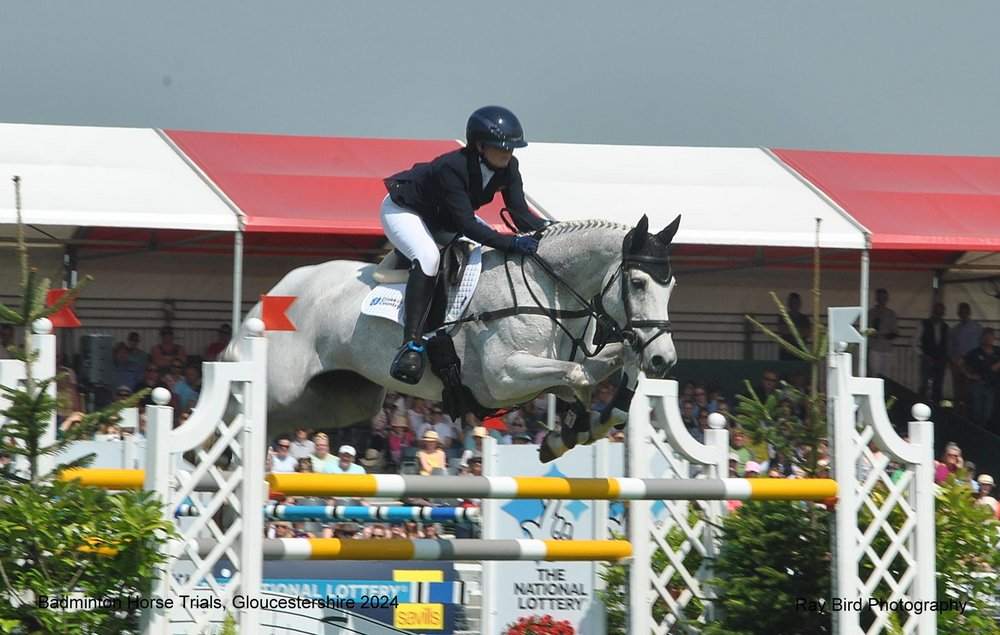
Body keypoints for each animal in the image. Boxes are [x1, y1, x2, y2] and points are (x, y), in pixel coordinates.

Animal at [226, 214, 680, 461]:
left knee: (277, 424)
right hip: (279, 385)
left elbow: (601, 367)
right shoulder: (503, 379)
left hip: (340, 400)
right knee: (240, 414)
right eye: (638, 283)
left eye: (670, 284)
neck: (546, 286)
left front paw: (575, 429)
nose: (665, 359)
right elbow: (578, 376)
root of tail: (274, 294)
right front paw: (573, 428)